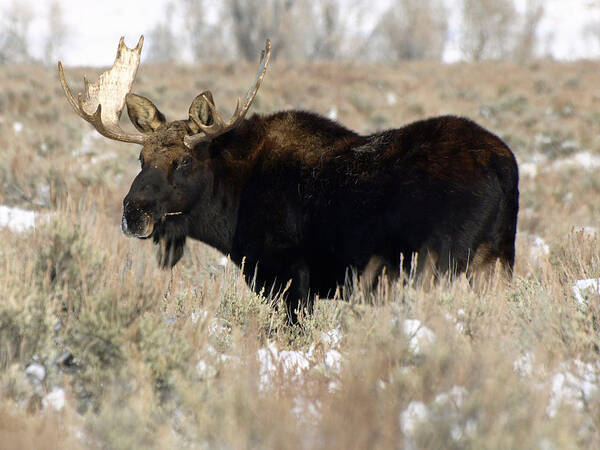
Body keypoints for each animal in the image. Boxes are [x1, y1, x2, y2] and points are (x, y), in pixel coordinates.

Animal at [58, 36, 516, 324]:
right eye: (141, 157)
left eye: (184, 161)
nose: (134, 212)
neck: (228, 211)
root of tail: (504, 165)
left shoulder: (288, 279)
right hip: (495, 262)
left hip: (438, 264)